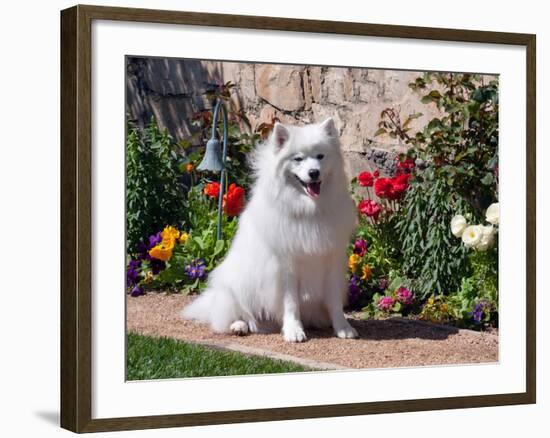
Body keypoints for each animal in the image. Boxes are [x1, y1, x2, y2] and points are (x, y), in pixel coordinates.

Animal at [183, 119, 360, 342]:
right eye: (298, 159)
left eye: (320, 156)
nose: (314, 173)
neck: (309, 210)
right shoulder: (286, 267)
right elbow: (291, 303)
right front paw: (294, 331)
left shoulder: (332, 261)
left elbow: (335, 301)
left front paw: (343, 327)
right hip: (235, 284)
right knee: (236, 314)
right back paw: (240, 326)